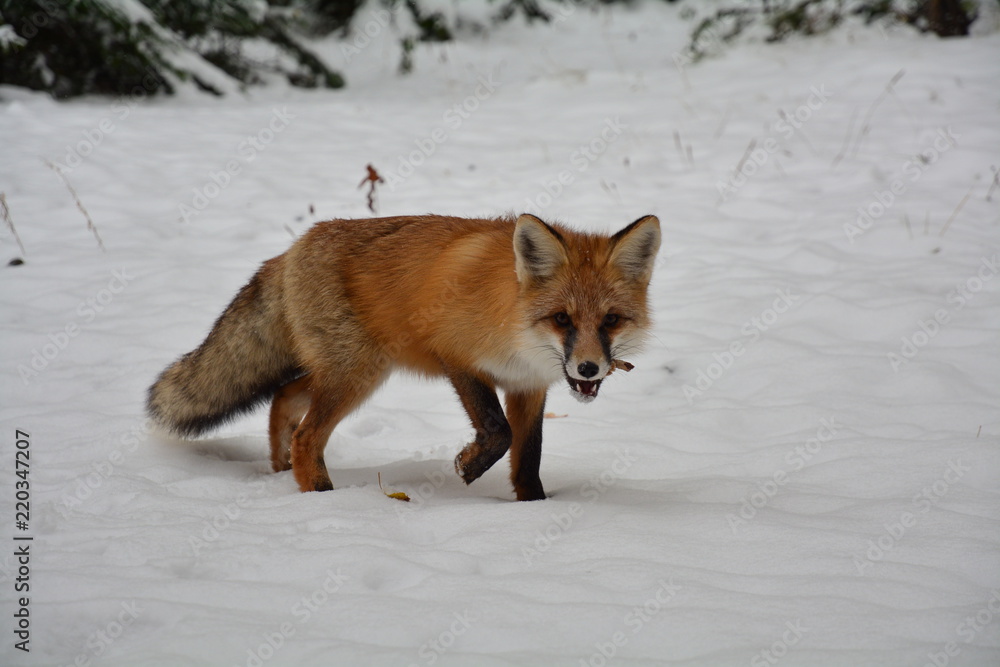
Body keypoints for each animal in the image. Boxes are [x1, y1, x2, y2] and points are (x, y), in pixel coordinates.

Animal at [147, 213, 660, 501]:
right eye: (561, 319)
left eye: (611, 320)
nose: (589, 367)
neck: (514, 325)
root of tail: (291, 249)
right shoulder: (457, 356)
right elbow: (499, 432)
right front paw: (468, 467)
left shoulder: (527, 386)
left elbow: (527, 457)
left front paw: (533, 507)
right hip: (356, 375)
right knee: (307, 436)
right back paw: (320, 499)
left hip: (346, 370)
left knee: (282, 400)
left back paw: (281, 471)